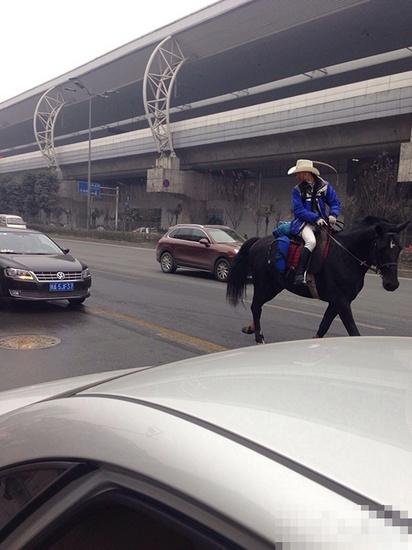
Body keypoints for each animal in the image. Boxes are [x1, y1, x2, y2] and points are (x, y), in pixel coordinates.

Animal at [227, 217, 410, 342]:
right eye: (382, 247)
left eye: (399, 247)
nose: (392, 284)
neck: (346, 255)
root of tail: (258, 241)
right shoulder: (342, 302)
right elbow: (353, 331)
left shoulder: (337, 302)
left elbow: (324, 326)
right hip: (265, 285)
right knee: (256, 307)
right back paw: (259, 337)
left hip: (274, 286)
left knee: (257, 306)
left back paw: (251, 328)